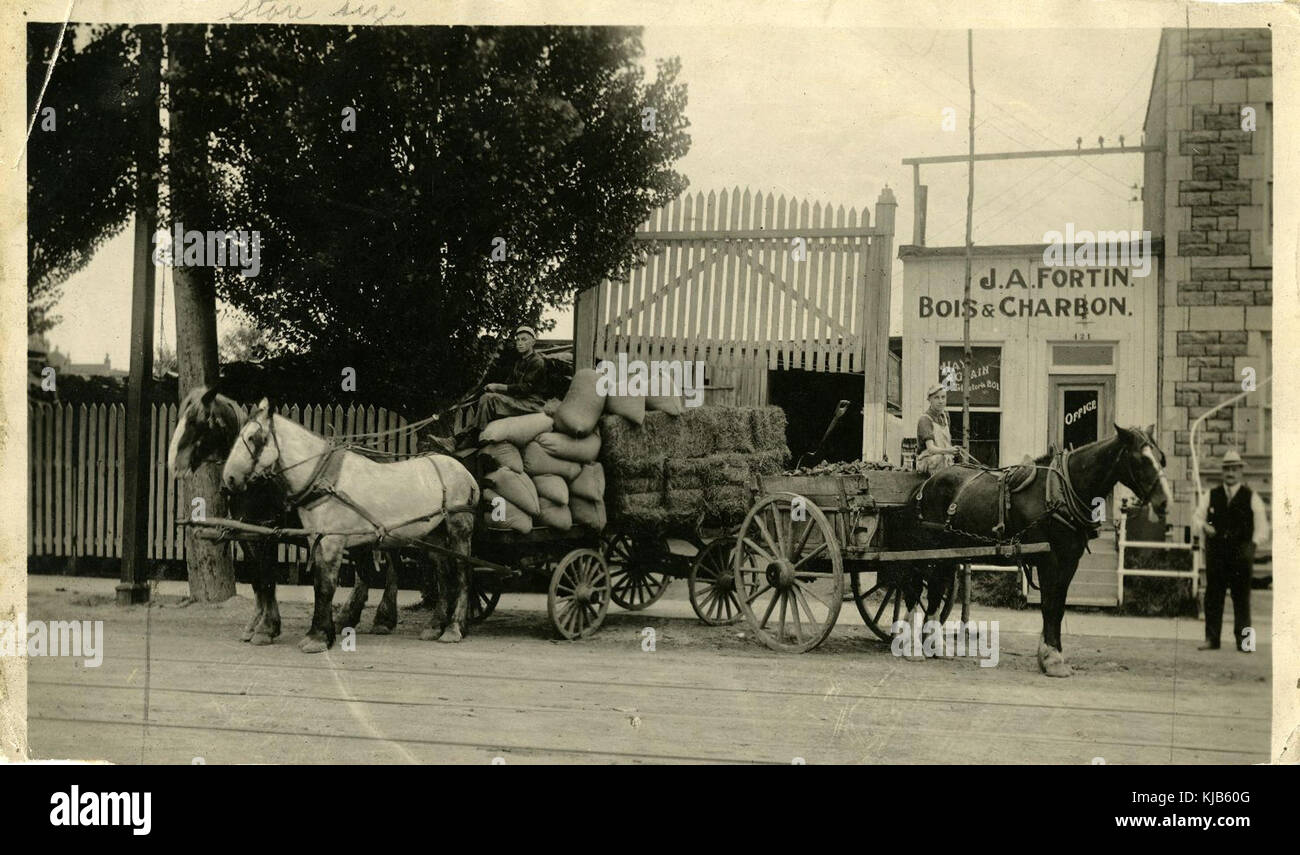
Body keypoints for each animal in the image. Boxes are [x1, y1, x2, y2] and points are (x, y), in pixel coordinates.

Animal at [889, 423, 1175, 675]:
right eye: (1140, 459)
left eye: (1161, 458)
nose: (1165, 502)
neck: (1061, 491)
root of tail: (924, 486)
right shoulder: (1051, 559)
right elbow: (1050, 605)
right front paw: (1052, 659)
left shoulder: (1070, 561)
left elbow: (1058, 606)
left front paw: (1049, 655)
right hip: (923, 552)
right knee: (914, 590)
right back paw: (912, 648)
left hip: (945, 555)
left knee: (935, 592)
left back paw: (935, 645)